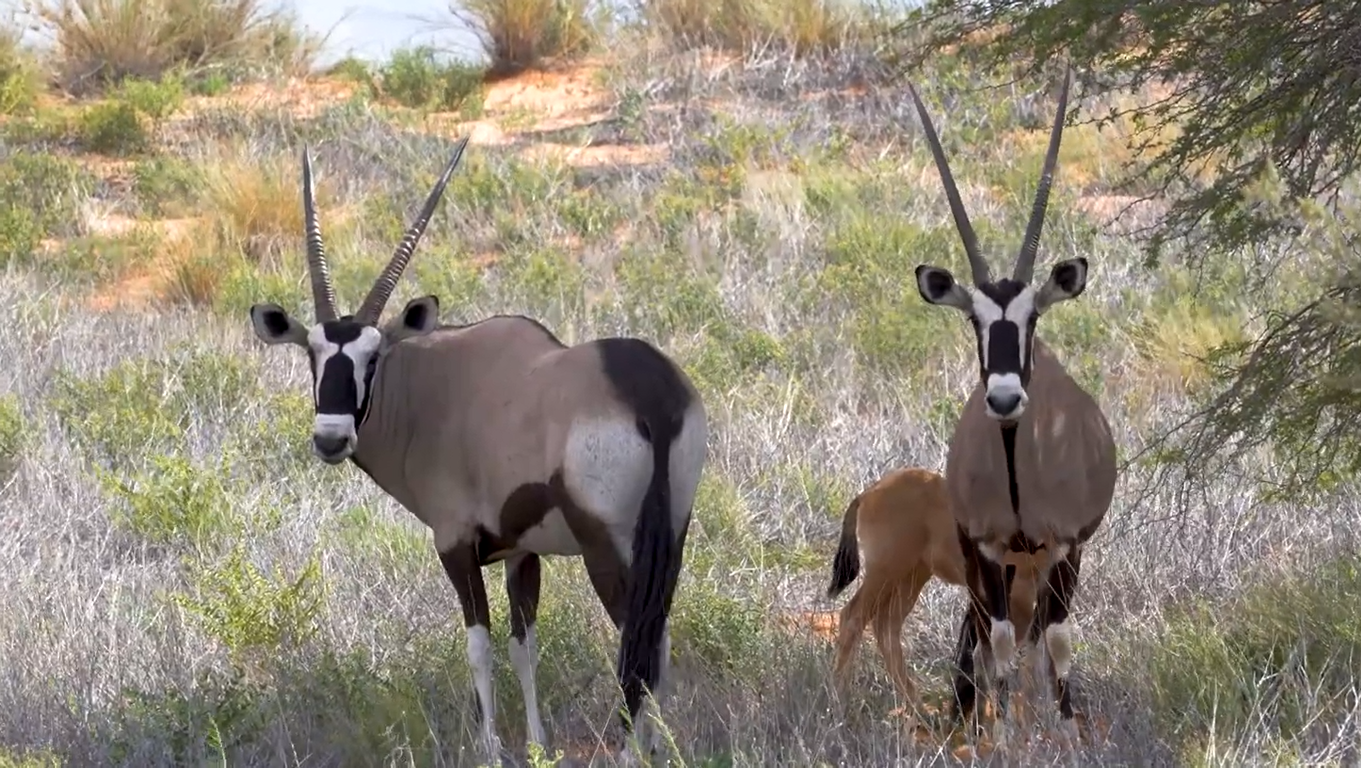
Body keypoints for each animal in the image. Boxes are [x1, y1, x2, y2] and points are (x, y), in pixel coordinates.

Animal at [247, 138, 713, 762]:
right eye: (313, 354)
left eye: (373, 357)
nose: (331, 438)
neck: (436, 385)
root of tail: (650, 395)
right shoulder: (521, 551)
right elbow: (523, 645)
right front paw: (538, 744)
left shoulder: (455, 544)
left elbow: (479, 645)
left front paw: (491, 748)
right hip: (671, 537)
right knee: (656, 638)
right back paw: (661, 747)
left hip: (608, 545)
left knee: (636, 641)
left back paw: (630, 753)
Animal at [903, 72, 1116, 746]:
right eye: (975, 320)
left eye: (1033, 316)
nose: (1002, 397)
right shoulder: (987, 549)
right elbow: (996, 638)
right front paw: (996, 731)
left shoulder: (1069, 546)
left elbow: (1058, 639)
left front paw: (1064, 729)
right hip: (997, 562)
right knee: (989, 633)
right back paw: (976, 702)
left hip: (1049, 560)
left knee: (1040, 632)